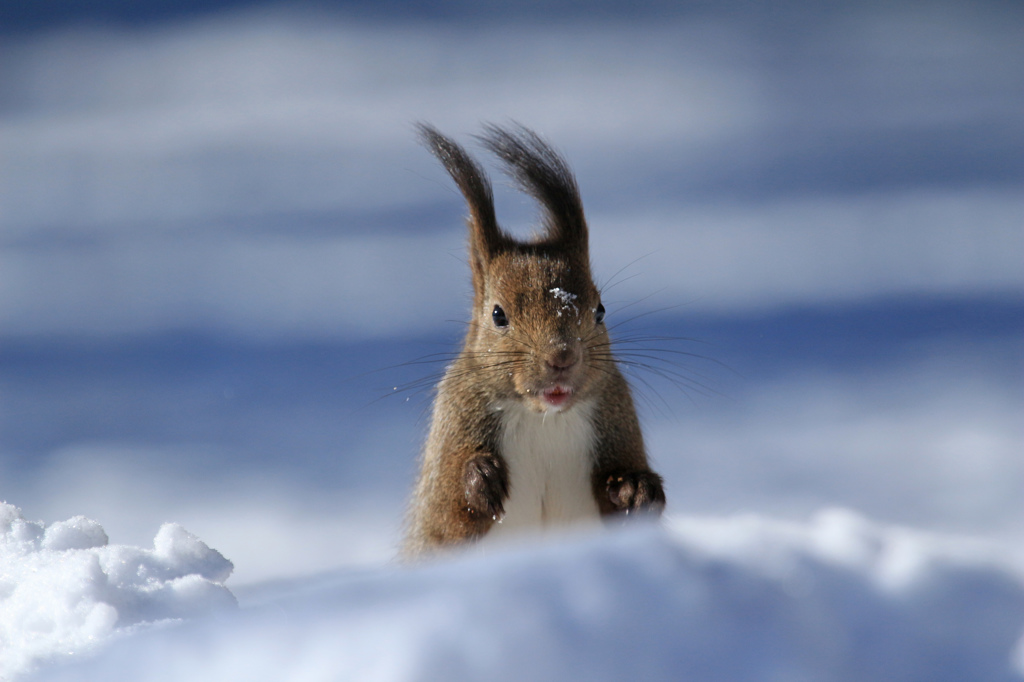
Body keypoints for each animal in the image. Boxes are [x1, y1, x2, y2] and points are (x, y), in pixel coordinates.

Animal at [399, 123, 663, 557]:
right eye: (498, 315)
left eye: (600, 310)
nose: (562, 357)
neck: (543, 418)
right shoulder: (452, 426)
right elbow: (445, 516)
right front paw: (479, 478)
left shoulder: (615, 415)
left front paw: (636, 488)